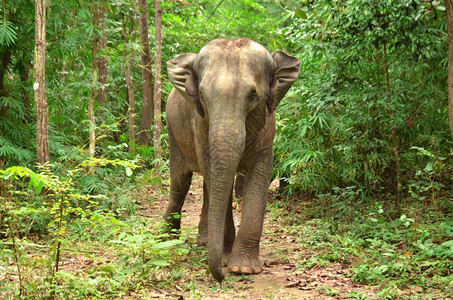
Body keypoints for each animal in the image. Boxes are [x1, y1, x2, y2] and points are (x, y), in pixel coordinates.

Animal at [163, 38, 300, 284]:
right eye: (202, 95)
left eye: (253, 95)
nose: (221, 277)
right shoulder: (199, 125)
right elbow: (212, 174)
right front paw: (228, 260)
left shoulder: (268, 129)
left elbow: (258, 176)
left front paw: (244, 268)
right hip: (172, 128)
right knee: (180, 183)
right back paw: (167, 239)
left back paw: (204, 241)